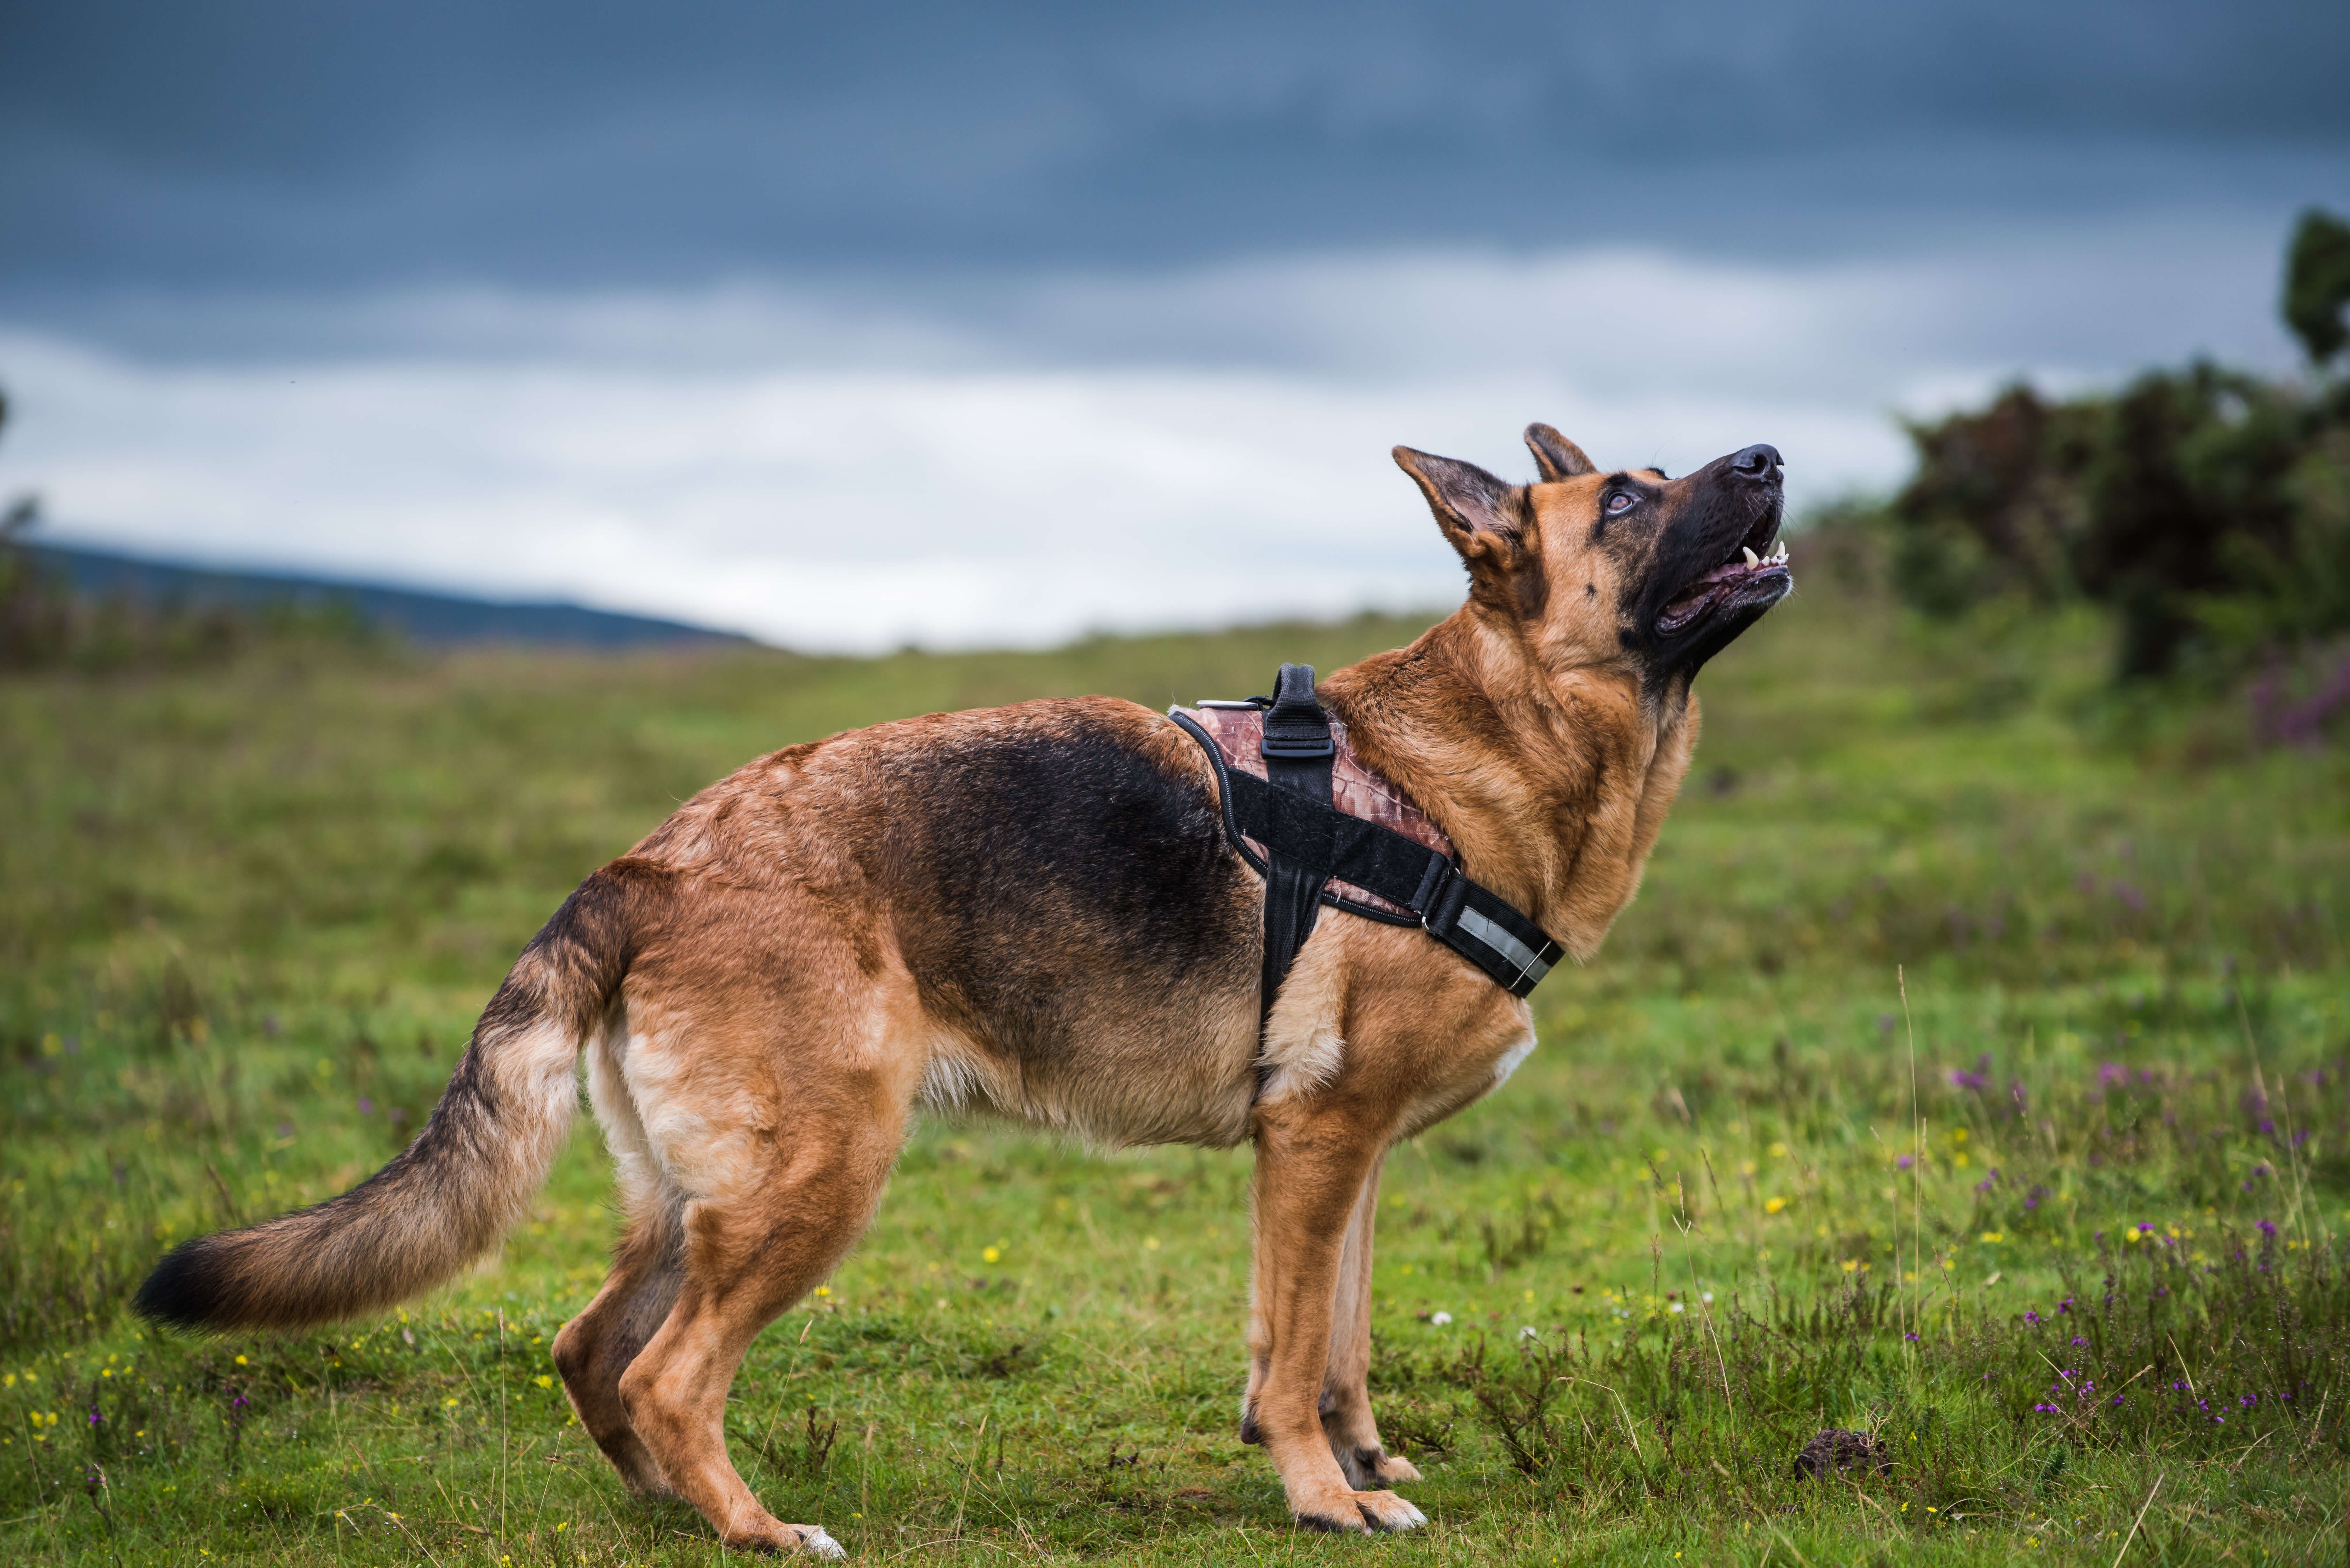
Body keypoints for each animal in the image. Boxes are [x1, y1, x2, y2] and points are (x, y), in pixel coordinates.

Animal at [137, 423, 1786, 1551]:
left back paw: (675, 1510)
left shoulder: (1347, 1155)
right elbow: (1294, 1349)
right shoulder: (1315, 1142)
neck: (1472, 759)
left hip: (696, 1196)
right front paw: (1324, 1496)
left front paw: (1362, 1459)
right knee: (670, 1371)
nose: (1770, 455)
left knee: (588, 1346)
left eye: (1660, 473)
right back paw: (754, 1526)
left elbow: (1333, 1338)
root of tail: (647, 861)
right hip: (819, 1178)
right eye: (1623, 500)